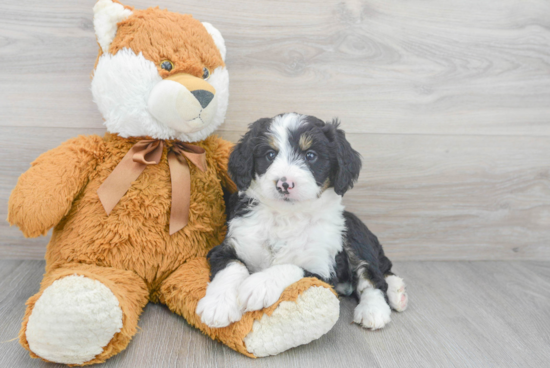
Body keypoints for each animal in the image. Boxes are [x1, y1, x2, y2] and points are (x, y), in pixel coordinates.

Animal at [196, 113, 408, 330]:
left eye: (311, 156)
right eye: (270, 155)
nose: (284, 184)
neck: (286, 217)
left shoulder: (322, 269)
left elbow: (291, 267)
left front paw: (259, 285)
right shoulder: (230, 245)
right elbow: (232, 266)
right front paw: (218, 305)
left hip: (354, 235)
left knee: (373, 276)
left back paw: (375, 308)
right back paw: (397, 293)